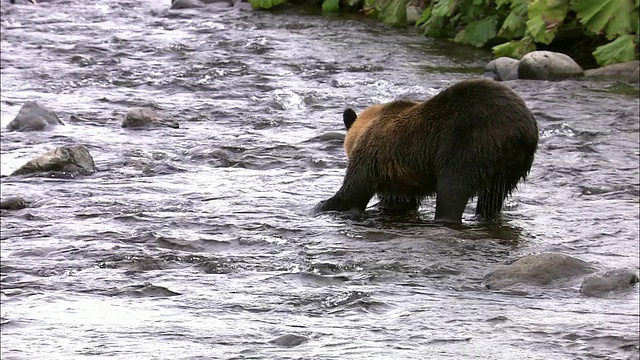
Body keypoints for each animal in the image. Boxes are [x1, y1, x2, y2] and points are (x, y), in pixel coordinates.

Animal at [318, 78, 536, 224]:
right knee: (491, 198)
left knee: (453, 189)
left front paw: (323, 206)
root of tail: (520, 133)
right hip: (511, 168)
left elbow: (353, 191)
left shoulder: (374, 154)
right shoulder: (399, 177)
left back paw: (445, 218)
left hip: (469, 144)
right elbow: (398, 202)